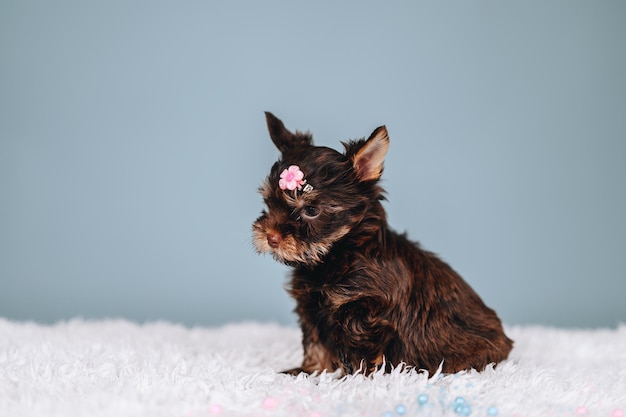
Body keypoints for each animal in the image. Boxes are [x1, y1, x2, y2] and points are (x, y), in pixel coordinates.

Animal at [251, 112, 510, 376]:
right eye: (269, 203)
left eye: (311, 210)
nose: (271, 237)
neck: (337, 253)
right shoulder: (311, 309)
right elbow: (315, 343)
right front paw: (310, 371)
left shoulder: (362, 311)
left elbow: (359, 354)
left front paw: (352, 378)